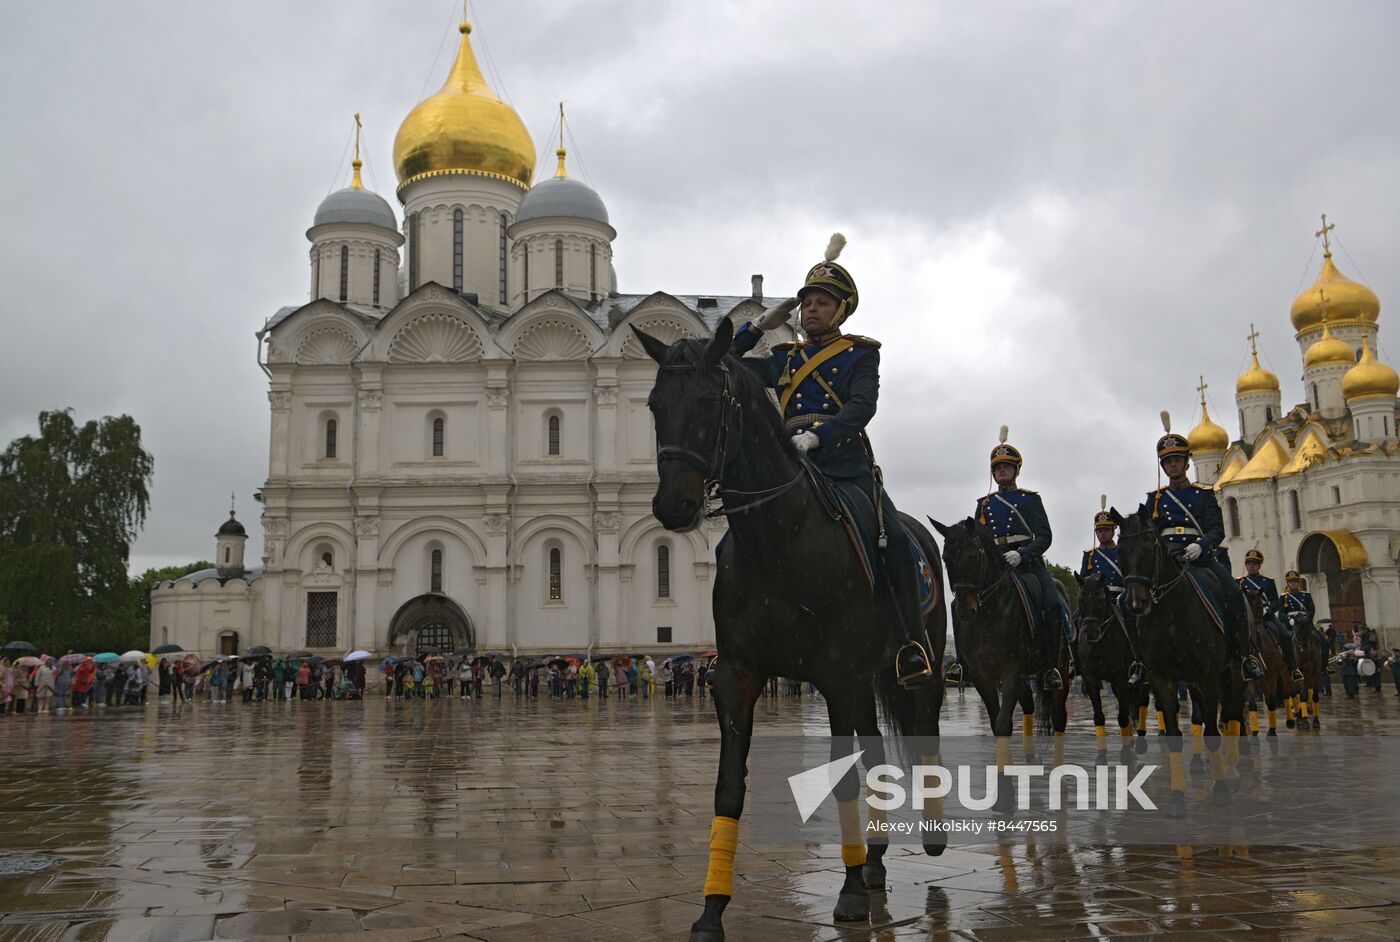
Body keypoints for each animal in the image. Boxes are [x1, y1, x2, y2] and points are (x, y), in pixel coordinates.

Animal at [638, 317, 946, 940]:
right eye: (656, 404)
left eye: (709, 400)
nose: (673, 506)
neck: (777, 539)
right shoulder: (737, 676)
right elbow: (728, 788)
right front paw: (712, 909)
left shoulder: (836, 677)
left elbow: (846, 778)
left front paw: (847, 894)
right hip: (866, 680)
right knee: (875, 753)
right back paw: (874, 861)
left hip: (919, 664)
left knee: (922, 727)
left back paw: (927, 838)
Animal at [935, 517, 1064, 744]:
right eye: (946, 558)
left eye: (974, 555)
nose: (965, 609)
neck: (988, 614)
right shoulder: (980, 674)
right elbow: (996, 723)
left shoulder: (1010, 670)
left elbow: (1003, 724)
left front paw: (1014, 556)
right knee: (1029, 703)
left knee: (1058, 717)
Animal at [1114, 506, 1248, 806]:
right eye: (1119, 550)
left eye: (1149, 545)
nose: (1136, 602)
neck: (1171, 617)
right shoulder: (1162, 678)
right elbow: (1175, 733)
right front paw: (1176, 797)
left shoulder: (1209, 675)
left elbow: (1213, 733)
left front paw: (1220, 788)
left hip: (1233, 671)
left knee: (1232, 712)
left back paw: (1234, 767)